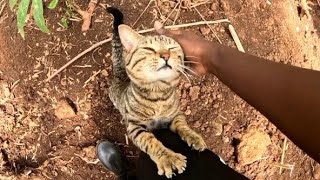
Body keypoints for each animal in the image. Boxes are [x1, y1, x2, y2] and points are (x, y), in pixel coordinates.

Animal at [107, 7, 208, 178]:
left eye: (172, 49)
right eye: (149, 49)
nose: (165, 55)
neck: (158, 93)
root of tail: (120, 76)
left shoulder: (176, 115)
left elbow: (183, 126)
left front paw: (193, 137)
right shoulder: (134, 126)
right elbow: (150, 141)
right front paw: (169, 159)